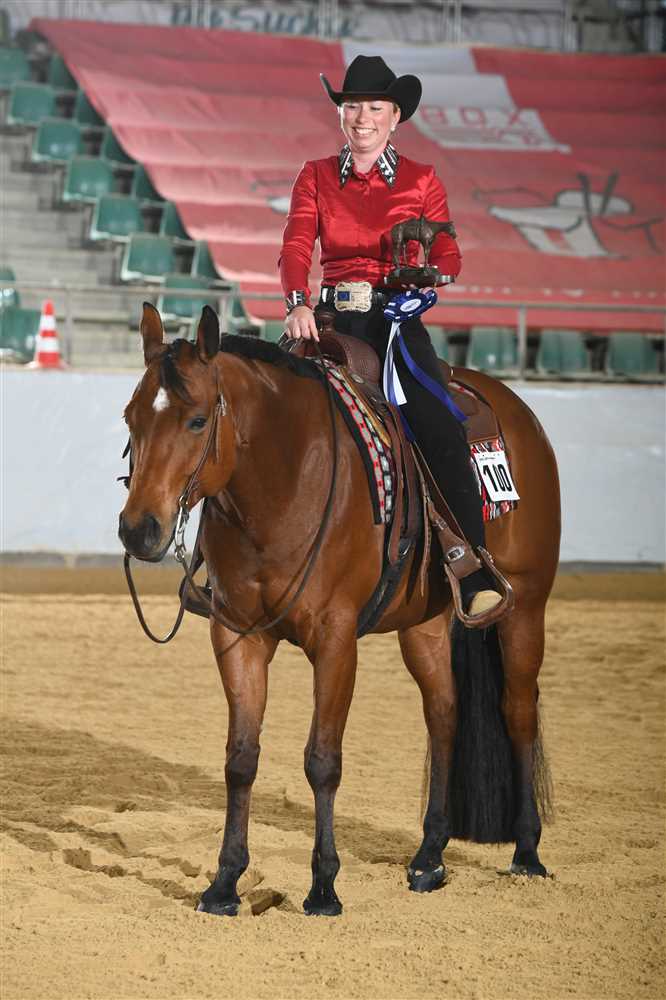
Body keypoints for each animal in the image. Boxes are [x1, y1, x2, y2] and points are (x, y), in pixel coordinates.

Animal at [118, 303, 560, 918]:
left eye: (198, 421)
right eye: (130, 418)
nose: (138, 529)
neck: (282, 483)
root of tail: (518, 410)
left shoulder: (335, 640)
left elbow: (322, 760)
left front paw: (324, 887)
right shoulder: (237, 636)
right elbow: (240, 759)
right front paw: (225, 883)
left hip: (526, 606)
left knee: (517, 712)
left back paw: (527, 852)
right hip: (425, 622)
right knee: (444, 713)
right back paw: (429, 856)